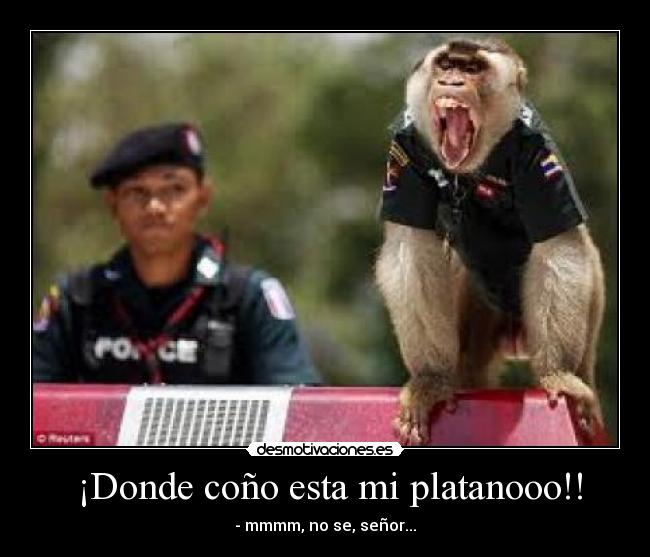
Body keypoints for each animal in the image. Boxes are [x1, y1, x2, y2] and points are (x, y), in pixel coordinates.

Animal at [375, 38, 605, 445]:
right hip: (479, 307)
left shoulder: (539, 153)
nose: (451, 82)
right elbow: (412, 249)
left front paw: (557, 372)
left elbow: (557, 248)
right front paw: (431, 379)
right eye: (447, 64)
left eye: (472, 69)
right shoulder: (404, 146)